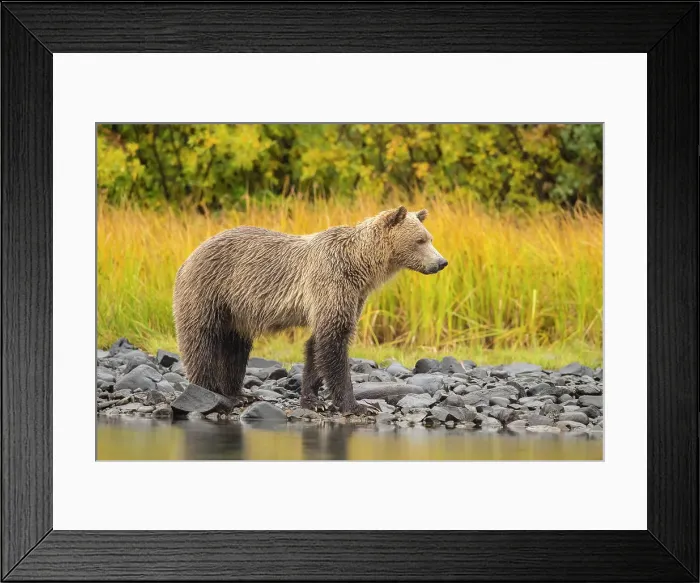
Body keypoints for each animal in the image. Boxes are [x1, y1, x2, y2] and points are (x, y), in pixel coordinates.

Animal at [172, 206, 447, 415]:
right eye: (420, 240)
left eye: (430, 238)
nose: (441, 262)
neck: (361, 266)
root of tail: (189, 256)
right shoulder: (331, 281)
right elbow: (334, 342)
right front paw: (357, 405)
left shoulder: (351, 296)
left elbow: (316, 346)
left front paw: (314, 401)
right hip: (209, 290)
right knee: (202, 341)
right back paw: (210, 394)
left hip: (236, 311)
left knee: (235, 348)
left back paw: (239, 394)